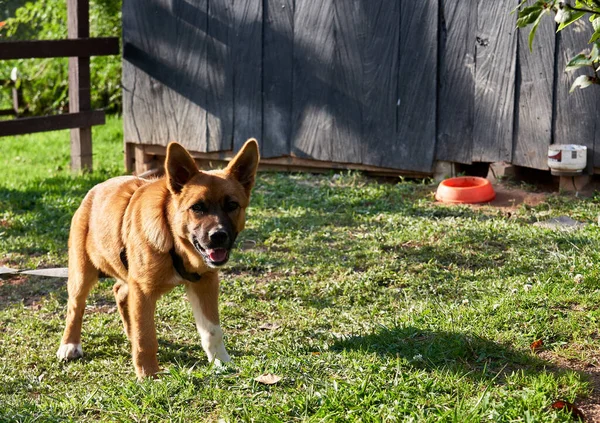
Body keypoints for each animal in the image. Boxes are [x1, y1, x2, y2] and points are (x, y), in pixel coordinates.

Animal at [56, 141, 260, 380]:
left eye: (232, 205)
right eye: (197, 207)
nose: (218, 236)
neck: (174, 243)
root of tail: (95, 190)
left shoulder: (205, 284)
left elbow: (212, 331)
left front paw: (222, 363)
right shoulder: (143, 292)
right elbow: (146, 337)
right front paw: (148, 374)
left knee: (120, 292)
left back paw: (129, 332)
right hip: (81, 273)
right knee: (75, 307)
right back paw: (70, 345)